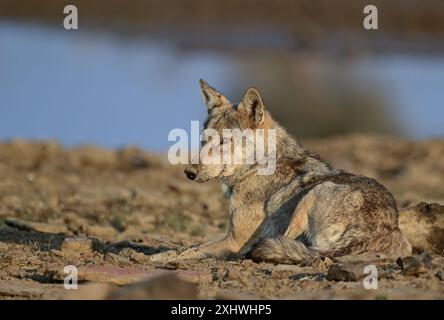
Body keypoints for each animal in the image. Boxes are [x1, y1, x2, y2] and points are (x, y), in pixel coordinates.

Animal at [150, 80, 412, 264]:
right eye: (204, 140)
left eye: (224, 141)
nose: (189, 172)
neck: (255, 167)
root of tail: (373, 231)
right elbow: (187, 248)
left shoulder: (234, 239)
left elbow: (187, 251)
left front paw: (156, 258)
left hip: (313, 194)